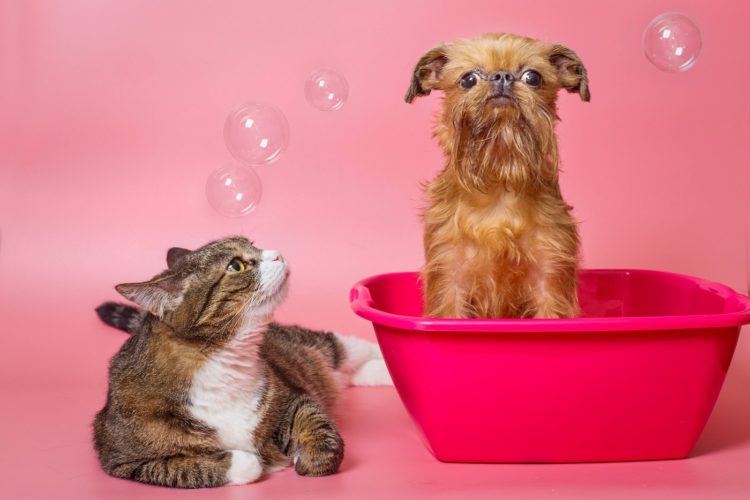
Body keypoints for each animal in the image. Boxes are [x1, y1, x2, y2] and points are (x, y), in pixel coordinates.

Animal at [92, 237, 394, 488]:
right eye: (235, 265)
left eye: (253, 244)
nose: (278, 253)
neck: (224, 365)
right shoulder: (123, 461)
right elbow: (186, 468)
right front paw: (251, 461)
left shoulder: (290, 394)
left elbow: (316, 422)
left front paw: (310, 459)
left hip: (314, 344)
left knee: (347, 349)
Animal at [408, 33, 592, 318]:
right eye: (468, 79)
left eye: (532, 77)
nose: (502, 76)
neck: (500, 179)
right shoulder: (449, 277)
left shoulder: (550, 277)